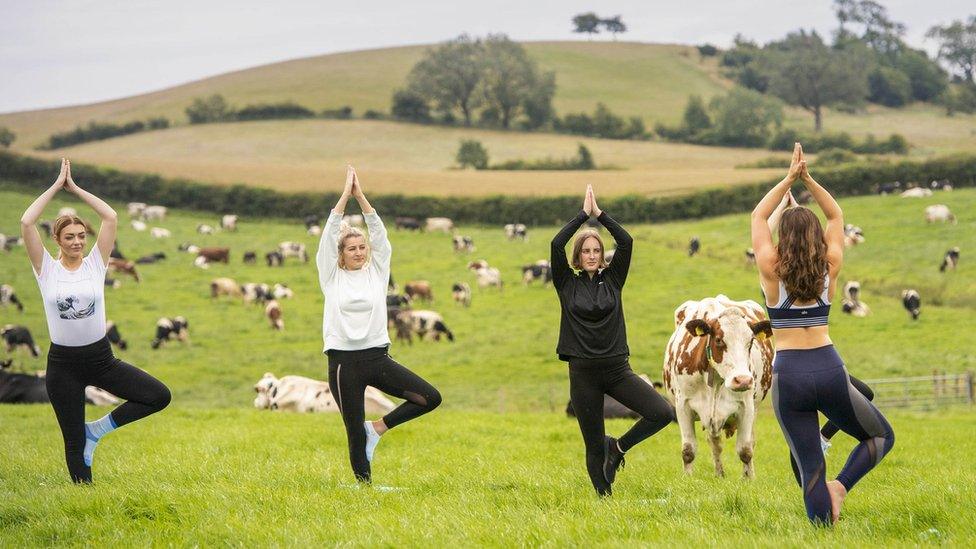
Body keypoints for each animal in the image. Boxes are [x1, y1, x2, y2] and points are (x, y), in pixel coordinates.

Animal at [660, 294, 772, 478]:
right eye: (719, 340)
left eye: (751, 341)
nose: (743, 380)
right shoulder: (682, 406)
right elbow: (688, 450)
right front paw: (687, 478)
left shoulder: (746, 407)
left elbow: (746, 450)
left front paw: (748, 479)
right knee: (715, 444)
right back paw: (719, 474)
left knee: (749, 442)